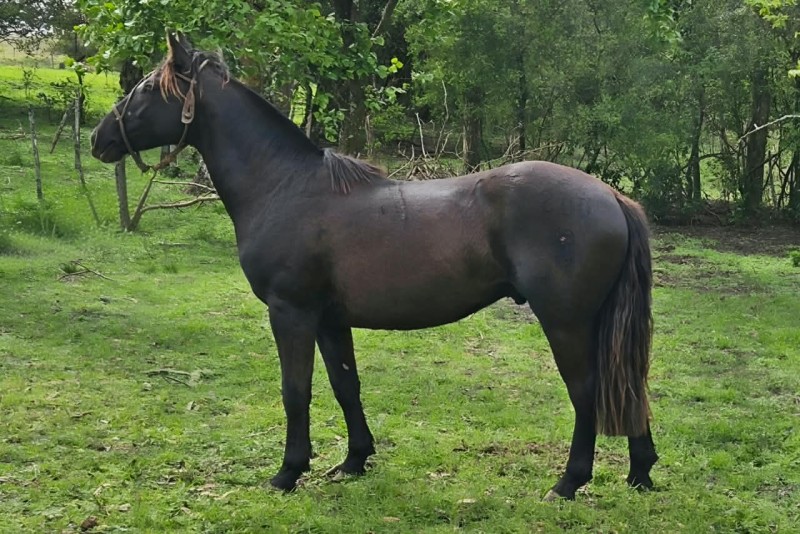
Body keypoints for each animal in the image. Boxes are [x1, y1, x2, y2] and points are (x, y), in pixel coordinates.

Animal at [91, 34, 658, 500]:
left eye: (147, 88)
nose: (101, 138)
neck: (284, 187)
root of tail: (610, 196)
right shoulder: (329, 319)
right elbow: (346, 385)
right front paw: (353, 461)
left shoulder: (291, 313)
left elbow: (296, 390)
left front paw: (288, 472)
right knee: (629, 383)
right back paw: (641, 472)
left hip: (566, 322)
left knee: (588, 391)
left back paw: (569, 482)